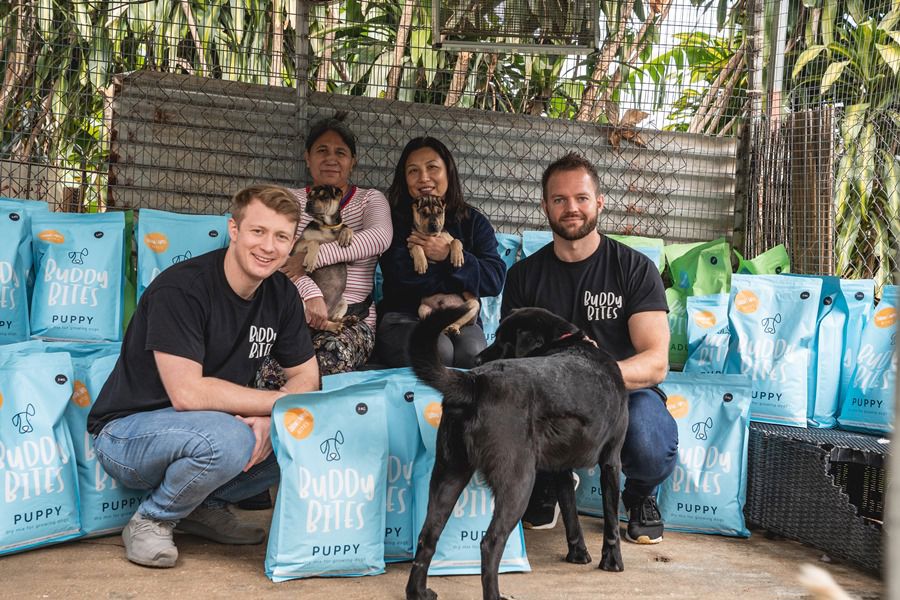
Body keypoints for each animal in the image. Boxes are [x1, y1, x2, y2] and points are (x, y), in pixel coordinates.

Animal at [294, 183, 354, 332]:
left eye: (324, 196)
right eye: (308, 196)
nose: (308, 203)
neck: (327, 225)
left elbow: (346, 227)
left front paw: (346, 234)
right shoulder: (298, 246)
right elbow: (313, 241)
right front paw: (310, 260)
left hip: (343, 301)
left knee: (333, 318)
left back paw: (347, 320)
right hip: (303, 303)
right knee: (320, 323)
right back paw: (335, 326)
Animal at [404, 308, 628, 596]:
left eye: (504, 342)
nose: (476, 358)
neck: (565, 342)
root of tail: (475, 381)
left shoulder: (561, 470)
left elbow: (571, 513)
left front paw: (578, 553)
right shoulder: (612, 460)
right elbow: (611, 517)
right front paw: (612, 561)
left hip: (449, 472)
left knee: (428, 536)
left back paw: (418, 592)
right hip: (518, 482)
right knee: (490, 543)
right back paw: (494, 594)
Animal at [408, 197, 478, 338]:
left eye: (440, 212)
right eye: (423, 213)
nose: (434, 226)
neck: (432, 236)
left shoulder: (449, 238)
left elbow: (455, 241)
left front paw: (457, 257)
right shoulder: (411, 244)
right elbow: (417, 247)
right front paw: (421, 263)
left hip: (472, 304)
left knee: (459, 320)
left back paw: (453, 328)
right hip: (423, 308)